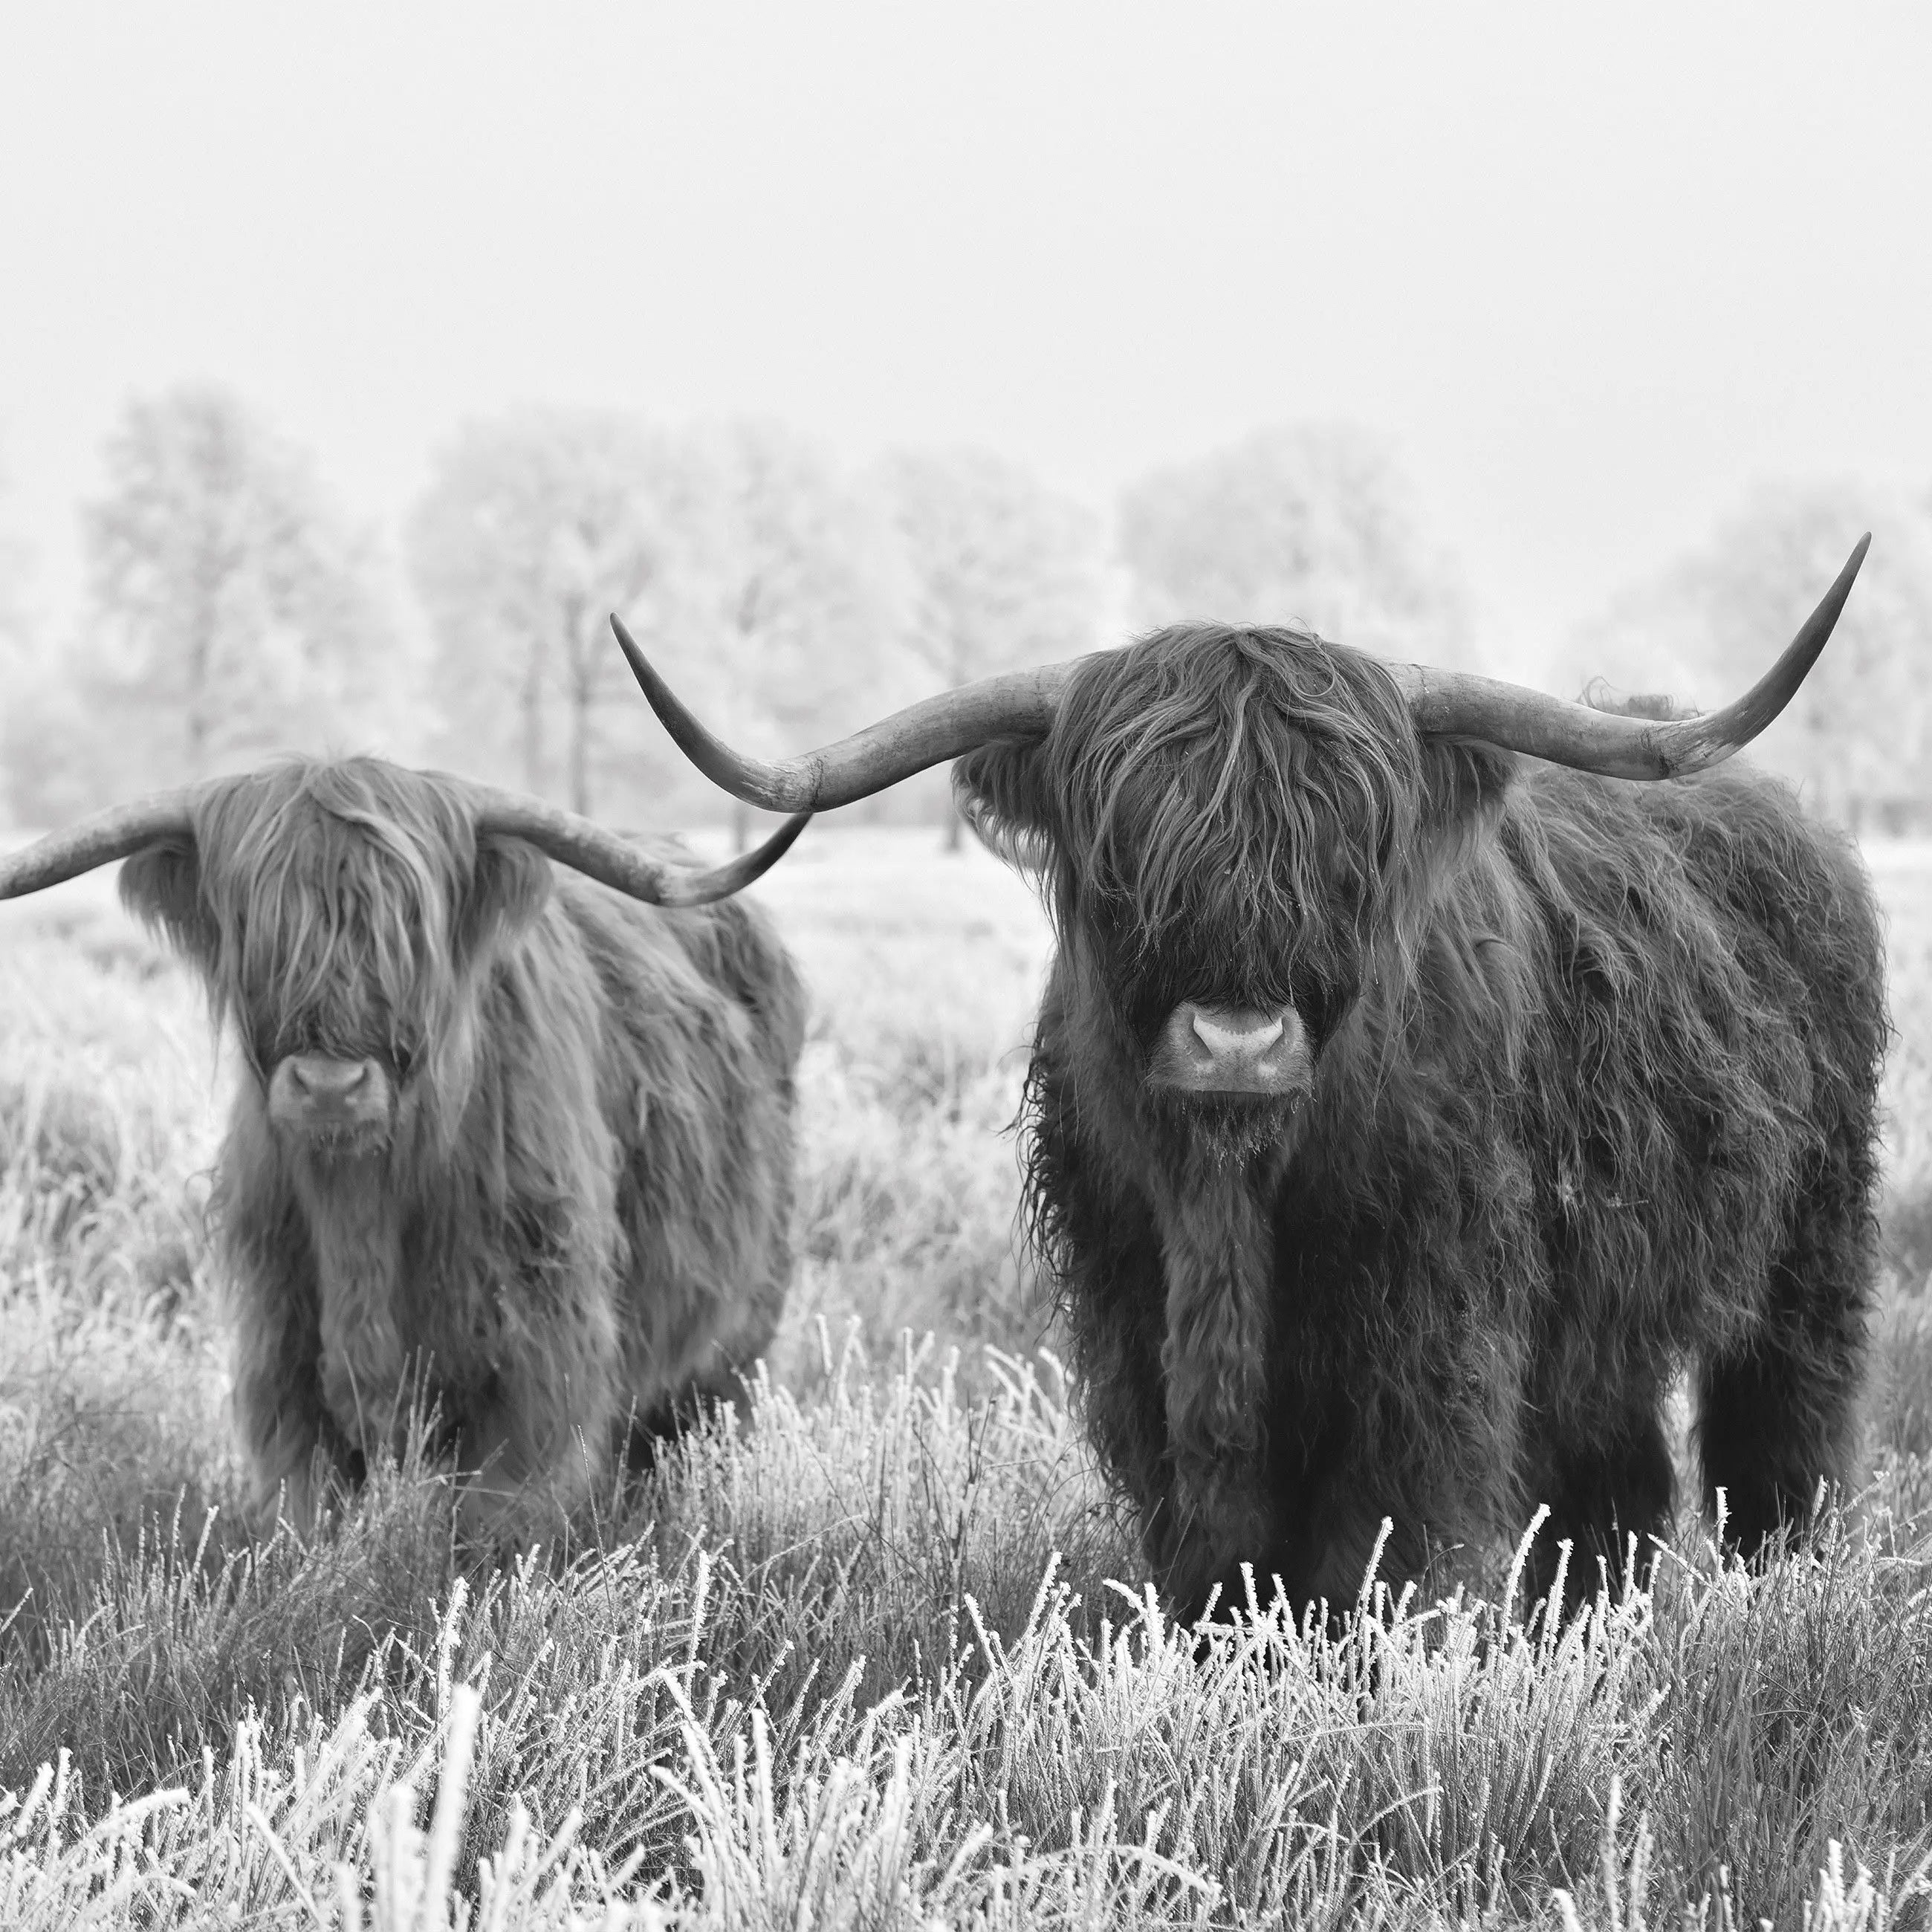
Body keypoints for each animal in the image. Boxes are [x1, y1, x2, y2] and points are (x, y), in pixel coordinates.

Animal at [0, 753, 811, 1537]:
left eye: (410, 928)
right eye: (251, 922)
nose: (330, 1086)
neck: (362, 1204)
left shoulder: (538, 1353)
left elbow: (496, 1520)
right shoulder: (281, 1354)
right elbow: (308, 1511)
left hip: (736, 1337)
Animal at [614, 537, 1885, 1623]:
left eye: (1352, 845)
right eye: (1125, 844)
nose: (1236, 1045)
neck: (1231, 1200)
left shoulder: (1427, 1337)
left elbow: (1377, 1546)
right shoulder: (1137, 1327)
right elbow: (1213, 1550)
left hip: (1810, 1250)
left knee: (1781, 1434)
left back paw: (1779, 1592)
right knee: (1614, 1478)